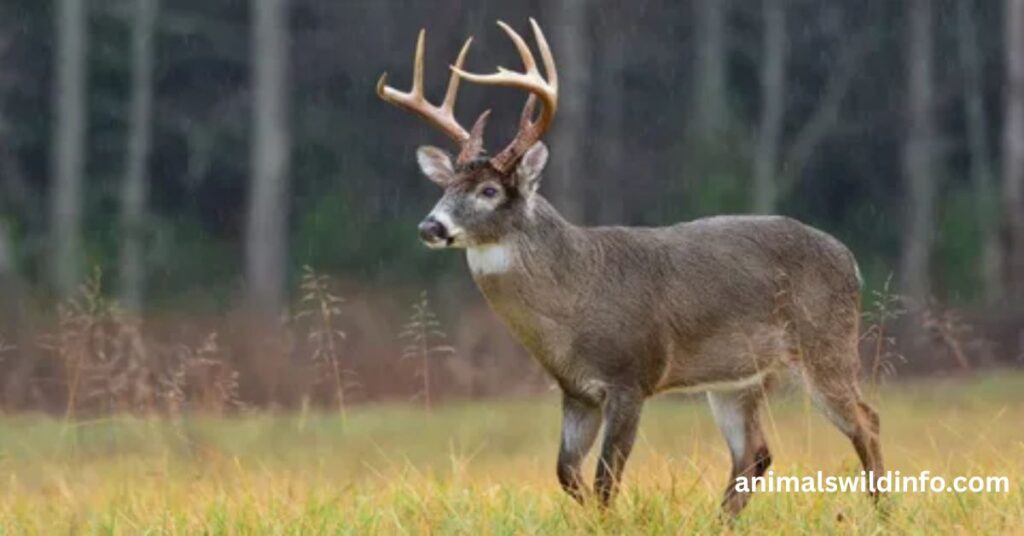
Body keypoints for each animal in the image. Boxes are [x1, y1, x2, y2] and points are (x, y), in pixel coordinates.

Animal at [376, 19, 884, 515]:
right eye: (446, 187)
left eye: (489, 191)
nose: (430, 225)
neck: (574, 298)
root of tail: (851, 260)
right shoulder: (576, 392)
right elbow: (567, 474)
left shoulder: (631, 376)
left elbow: (606, 480)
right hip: (737, 378)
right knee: (754, 453)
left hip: (826, 341)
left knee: (867, 420)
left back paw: (882, 511)